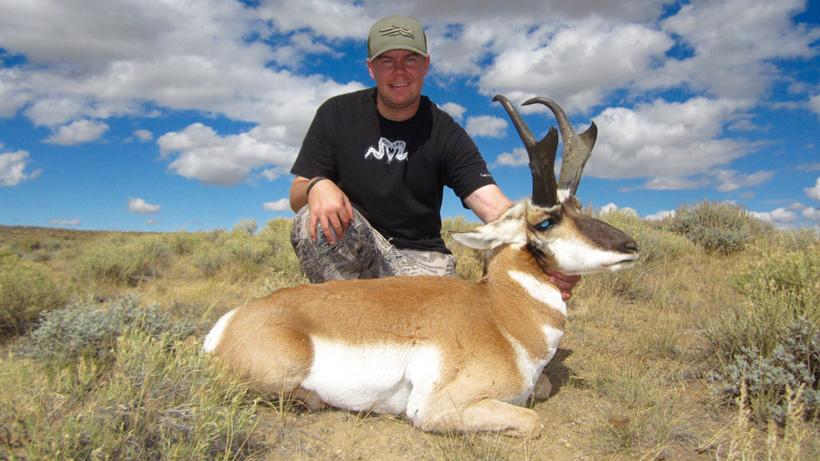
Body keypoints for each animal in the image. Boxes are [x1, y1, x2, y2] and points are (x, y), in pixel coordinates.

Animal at [204, 95, 638, 438]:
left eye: (578, 207)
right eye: (546, 222)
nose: (631, 246)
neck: (499, 315)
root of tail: (230, 323)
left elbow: (542, 388)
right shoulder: (438, 409)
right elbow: (533, 421)